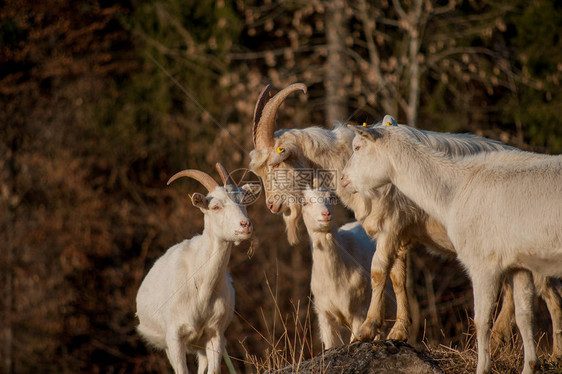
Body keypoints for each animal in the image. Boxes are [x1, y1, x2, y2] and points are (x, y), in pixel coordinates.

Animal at [135, 164, 260, 374]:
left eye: (243, 201)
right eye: (215, 206)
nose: (245, 225)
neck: (201, 286)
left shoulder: (215, 334)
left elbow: (214, 370)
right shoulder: (175, 337)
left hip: (200, 346)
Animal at [282, 188, 392, 350]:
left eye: (331, 198)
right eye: (306, 202)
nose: (326, 214)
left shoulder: (360, 311)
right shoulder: (325, 315)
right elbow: (329, 345)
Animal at [340, 126, 560, 374]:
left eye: (358, 147)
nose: (343, 178)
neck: (453, 191)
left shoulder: (483, 263)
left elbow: (481, 319)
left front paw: (482, 367)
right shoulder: (518, 265)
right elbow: (525, 316)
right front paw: (530, 366)